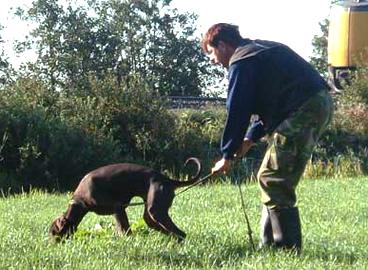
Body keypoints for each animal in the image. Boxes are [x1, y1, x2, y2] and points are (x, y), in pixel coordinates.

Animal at [49, 157, 201, 242]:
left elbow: (125, 229)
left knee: (181, 234)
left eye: (53, 232)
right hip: (150, 217)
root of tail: (167, 180)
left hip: (156, 211)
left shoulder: (118, 208)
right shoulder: (118, 212)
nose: (51, 245)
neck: (80, 201)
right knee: (171, 232)